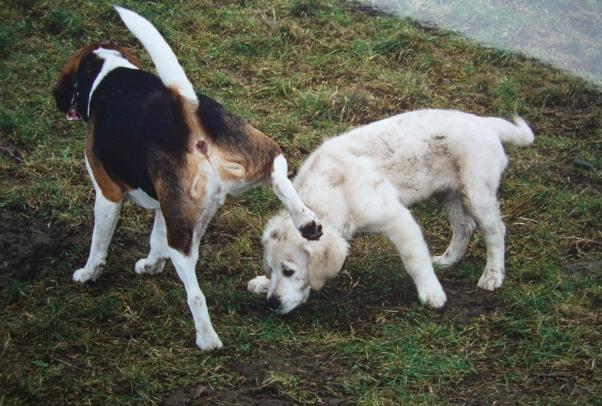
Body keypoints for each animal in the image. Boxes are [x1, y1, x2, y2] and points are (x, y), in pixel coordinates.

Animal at [54, 4, 322, 350]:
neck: (109, 73)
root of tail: (186, 107)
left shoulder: (107, 193)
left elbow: (99, 244)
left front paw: (88, 274)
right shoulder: (163, 201)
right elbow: (155, 239)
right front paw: (151, 265)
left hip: (183, 236)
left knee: (195, 294)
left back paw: (207, 340)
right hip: (256, 150)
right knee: (279, 177)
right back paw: (307, 222)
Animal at [246, 110, 532, 314]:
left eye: (289, 271)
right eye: (272, 269)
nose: (272, 304)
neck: (333, 191)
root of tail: (485, 123)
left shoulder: (397, 218)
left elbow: (415, 260)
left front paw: (431, 293)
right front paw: (261, 282)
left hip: (476, 192)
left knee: (495, 231)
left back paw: (492, 275)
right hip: (448, 194)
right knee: (465, 227)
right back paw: (448, 260)